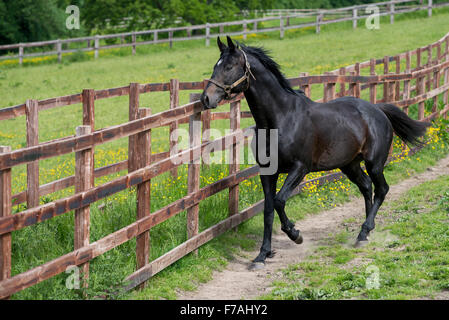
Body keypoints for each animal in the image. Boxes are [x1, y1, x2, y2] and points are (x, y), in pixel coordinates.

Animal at [200, 36, 428, 268]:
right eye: (215, 66)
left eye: (229, 67)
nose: (206, 99)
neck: (282, 118)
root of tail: (378, 110)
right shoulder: (267, 172)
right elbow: (268, 209)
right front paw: (262, 255)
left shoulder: (300, 168)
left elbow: (280, 201)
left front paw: (295, 235)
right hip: (350, 164)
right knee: (366, 187)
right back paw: (364, 234)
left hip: (374, 163)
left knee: (381, 189)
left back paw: (365, 231)